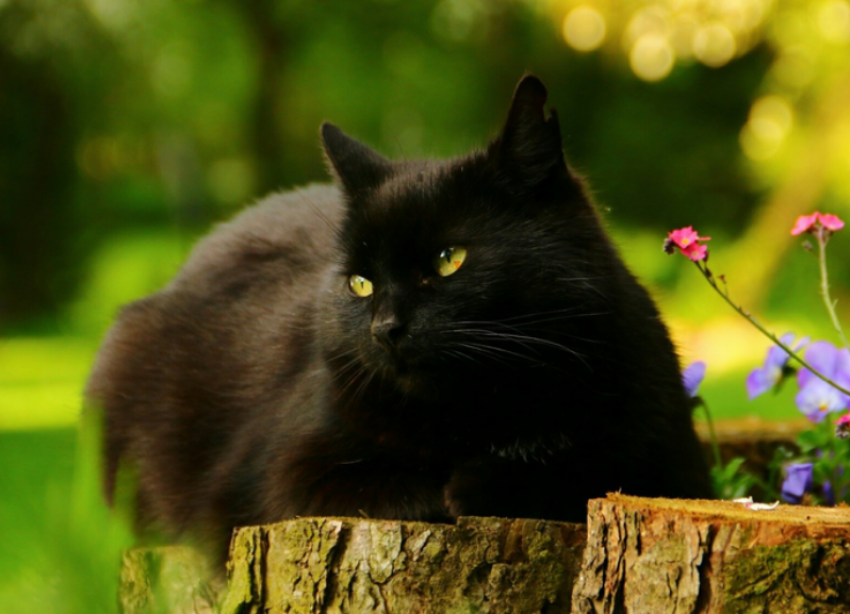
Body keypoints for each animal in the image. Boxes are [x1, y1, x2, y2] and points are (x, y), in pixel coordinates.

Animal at [88, 74, 708, 556]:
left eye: (449, 259)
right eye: (359, 283)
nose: (385, 328)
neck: (478, 416)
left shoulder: (669, 462)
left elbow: (591, 465)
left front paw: (487, 479)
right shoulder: (271, 481)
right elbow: (360, 484)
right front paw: (442, 490)